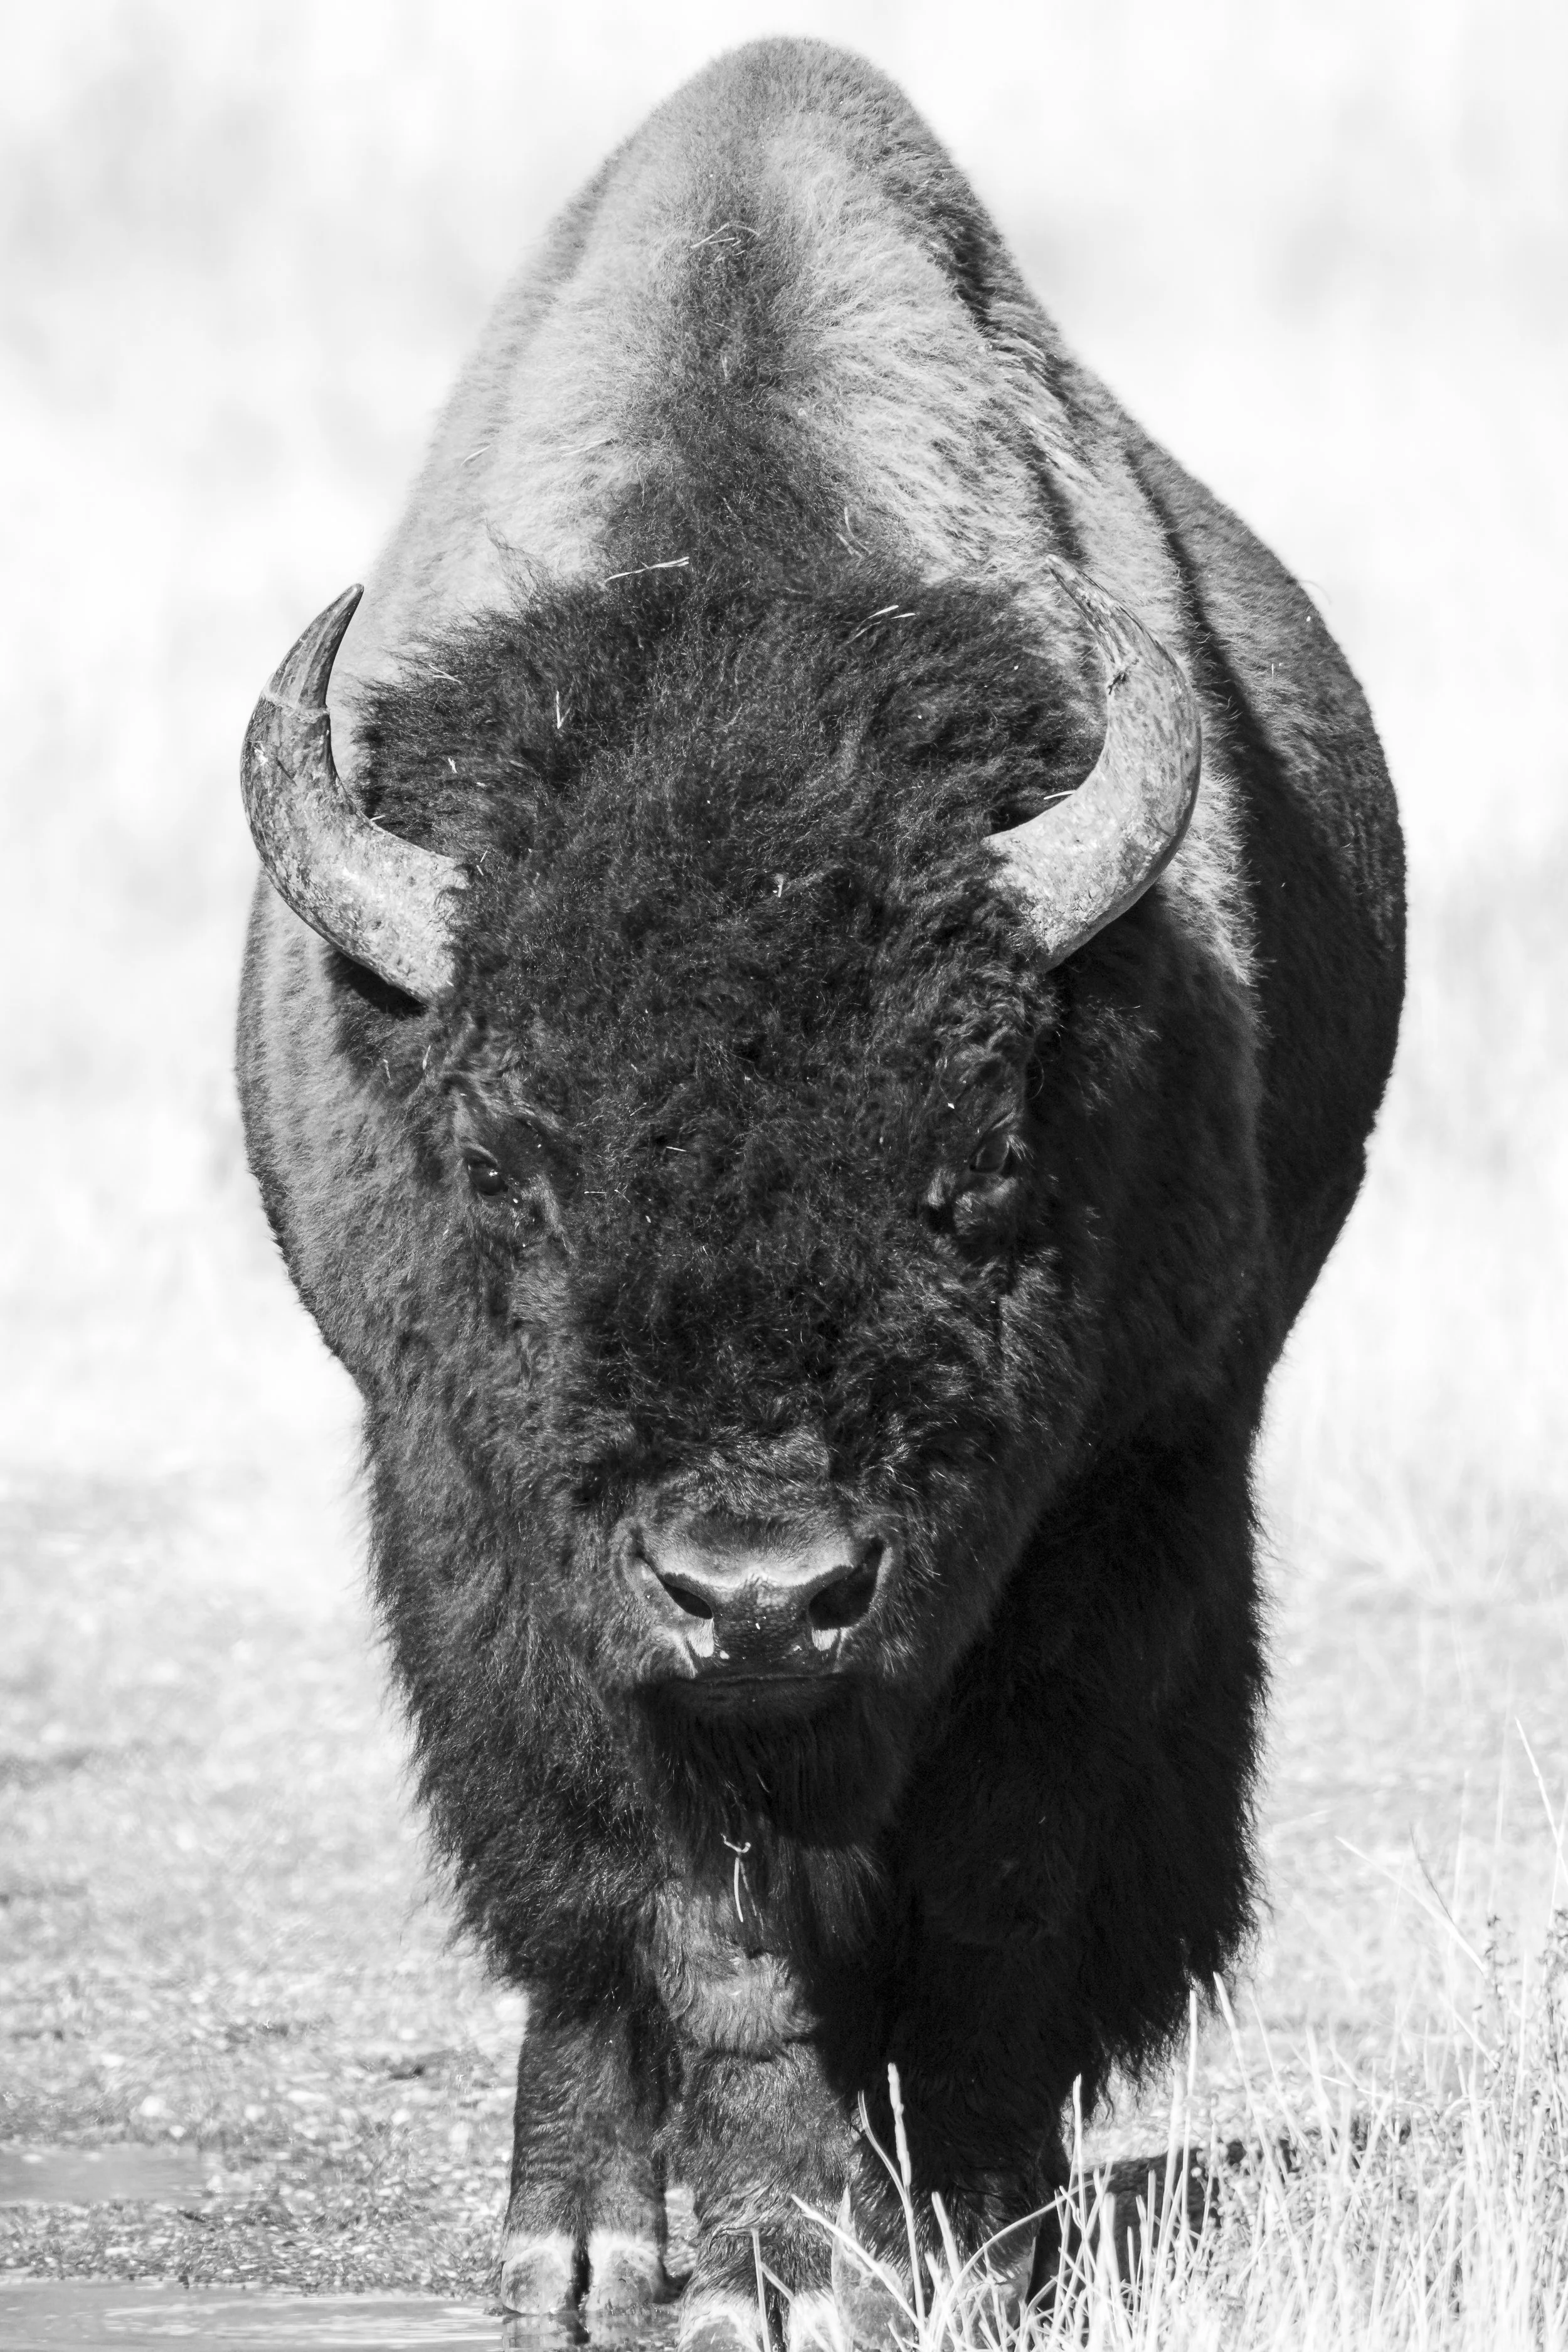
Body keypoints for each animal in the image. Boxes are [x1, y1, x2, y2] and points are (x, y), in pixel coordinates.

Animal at [236, 38, 1403, 2352]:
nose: (764, 1589)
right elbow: (688, 1912)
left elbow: (1004, 1872)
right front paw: (768, 2267)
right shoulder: (527, 1566)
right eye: (502, 1162)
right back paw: (577, 2241)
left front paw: (961, 2236)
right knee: (574, 1919)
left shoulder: (1126, 1493)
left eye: (981, 1169)